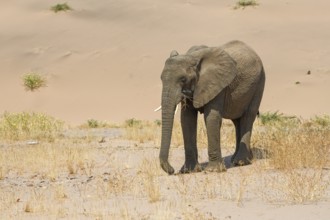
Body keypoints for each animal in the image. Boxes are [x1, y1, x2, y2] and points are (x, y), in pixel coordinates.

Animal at [159, 39, 264, 174]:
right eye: (161, 79)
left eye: (183, 79)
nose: (171, 170)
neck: (193, 57)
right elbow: (187, 120)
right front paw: (189, 171)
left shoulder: (218, 83)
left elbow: (211, 117)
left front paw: (213, 170)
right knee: (237, 121)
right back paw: (238, 160)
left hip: (259, 83)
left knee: (248, 117)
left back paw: (241, 162)